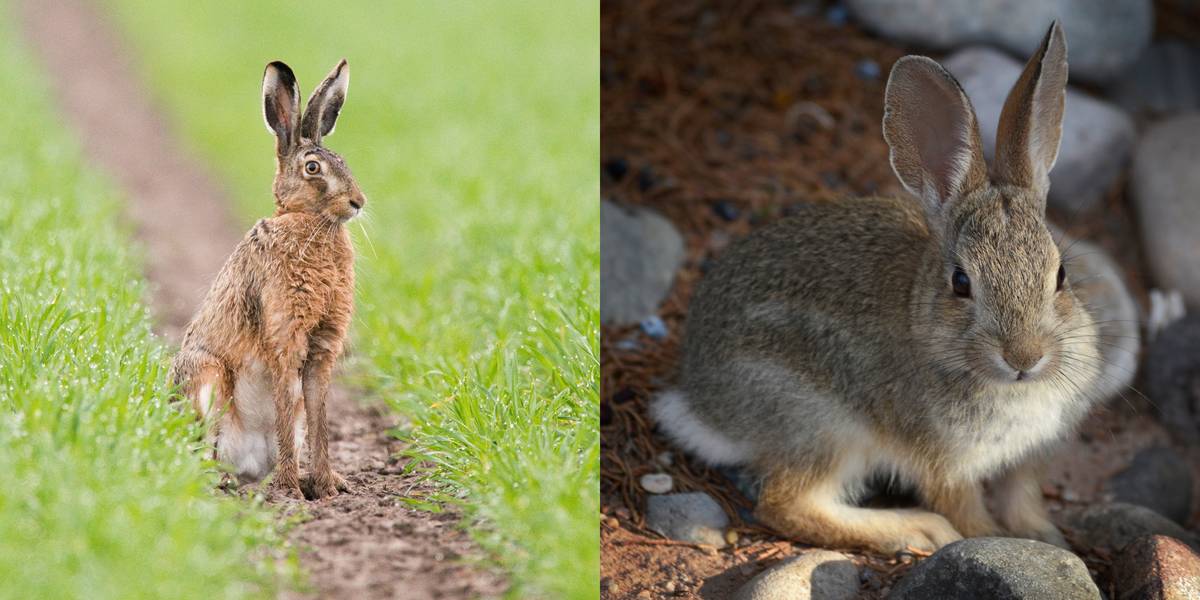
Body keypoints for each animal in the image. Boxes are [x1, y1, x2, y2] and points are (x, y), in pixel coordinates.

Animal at [169, 59, 366, 500]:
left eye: (344, 161)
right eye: (313, 168)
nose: (358, 202)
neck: (309, 223)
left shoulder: (321, 349)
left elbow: (320, 420)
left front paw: (327, 487)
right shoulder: (284, 335)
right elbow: (286, 402)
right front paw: (291, 491)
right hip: (206, 376)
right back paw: (231, 483)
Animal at [652, 22, 1104, 554]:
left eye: (1061, 276)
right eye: (961, 282)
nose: (1024, 357)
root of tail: (700, 403)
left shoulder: (1028, 459)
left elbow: (1023, 499)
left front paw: (1048, 540)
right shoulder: (944, 464)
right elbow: (967, 513)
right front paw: (991, 539)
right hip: (823, 425)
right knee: (787, 505)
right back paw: (915, 529)